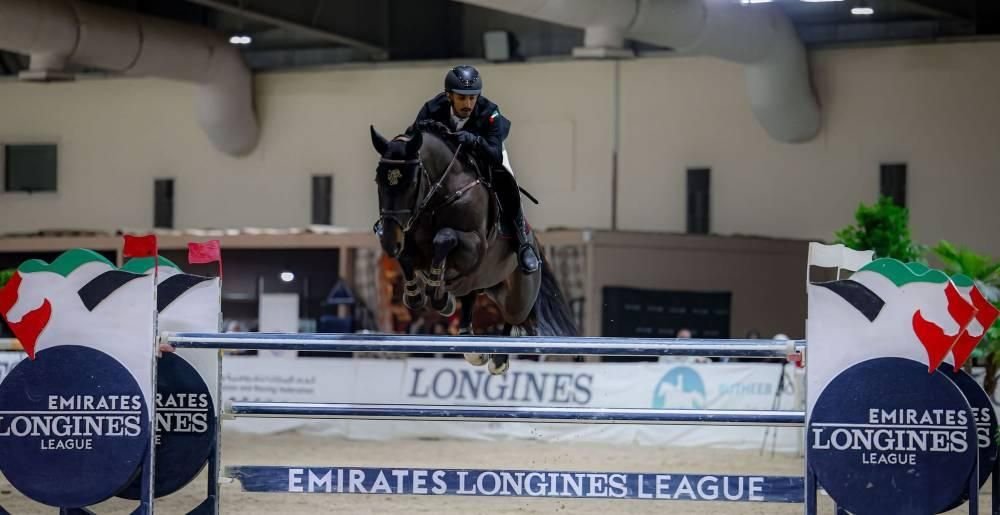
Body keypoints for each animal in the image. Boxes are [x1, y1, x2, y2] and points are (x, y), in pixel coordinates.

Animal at [369, 121, 578, 374]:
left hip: (519, 294)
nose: (389, 241)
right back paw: (466, 336)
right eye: (378, 181)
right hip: (485, 284)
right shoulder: (410, 241)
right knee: (470, 297)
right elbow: (408, 257)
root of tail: (535, 246)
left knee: (513, 317)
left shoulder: (475, 245)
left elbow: (444, 237)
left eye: (411, 183)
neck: (440, 195)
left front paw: (435, 289)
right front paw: (417, 295)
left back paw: (497, 358)